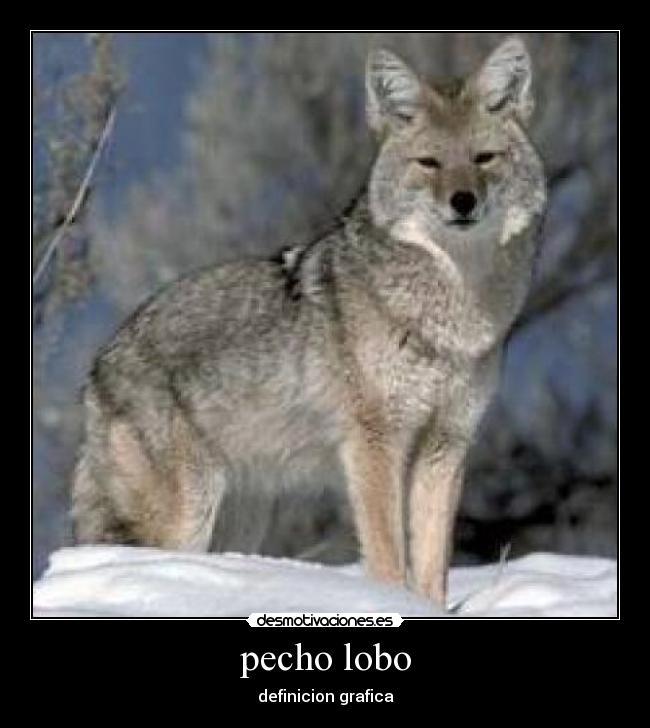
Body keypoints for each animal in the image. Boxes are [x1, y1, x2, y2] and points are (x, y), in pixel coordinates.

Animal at [71, 36, 546, 606]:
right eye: (429, 162)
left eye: (483, 158)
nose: (463, 201)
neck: (452, 312)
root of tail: (97, 365)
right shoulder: (374, 445)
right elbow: (388, 558)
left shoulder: (446, 447)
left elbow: (433, 568)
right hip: (185, 517)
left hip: (241, 521)